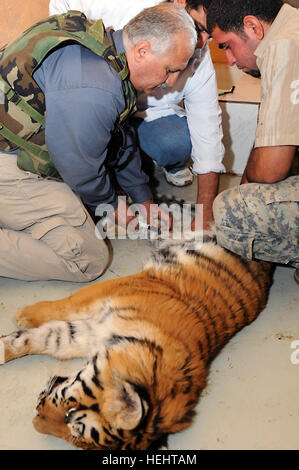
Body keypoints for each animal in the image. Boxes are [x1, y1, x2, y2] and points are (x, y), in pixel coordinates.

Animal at [0, 237, 274, 450]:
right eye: (70, 414)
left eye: (73, 430)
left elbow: (44, 338)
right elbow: (67, 303)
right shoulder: (113, 290)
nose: (35, 422)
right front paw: (24, 315)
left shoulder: (82, 333)